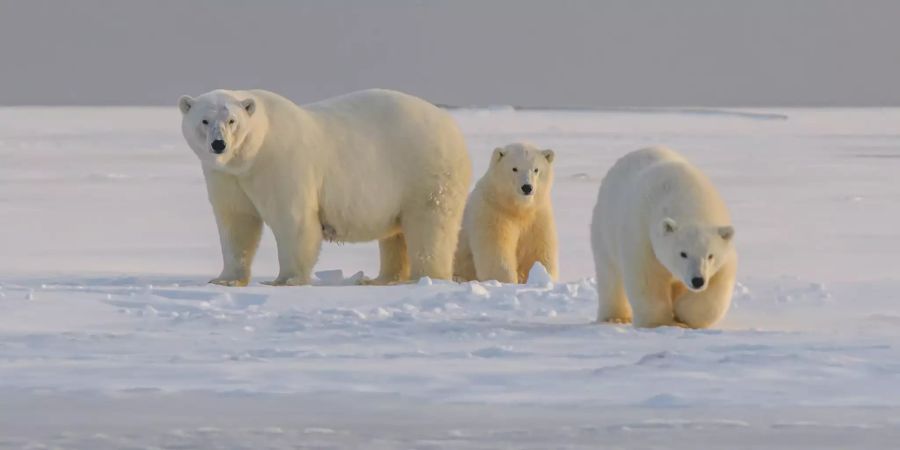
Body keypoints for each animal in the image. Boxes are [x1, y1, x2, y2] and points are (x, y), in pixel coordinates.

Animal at [176, 88, 472, 284]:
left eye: (232, 121)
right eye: (204, 120)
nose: (219, 144)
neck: (252, 154)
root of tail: (452, 126)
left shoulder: (281, 164)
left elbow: (293, 221)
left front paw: (286, 280)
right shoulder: (227, 177)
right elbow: (236, 222)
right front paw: (225, 279)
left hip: (424, 171)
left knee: (430, 226)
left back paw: (426, 277)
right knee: (395, 235)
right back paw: (381, 279)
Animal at [458, 142, 556, 284]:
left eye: (536, 169)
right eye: (514, 168)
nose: (527, 187)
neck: (517, 208)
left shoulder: (537, 216)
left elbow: (538, 250)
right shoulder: (493, 213)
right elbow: (496, 252)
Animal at [592, 148, 740, 326]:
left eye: (710, 255)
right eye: (683, 253)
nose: (697, 280)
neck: (689, 201)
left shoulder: (724, 254)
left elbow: (717, 288)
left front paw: (682, 313)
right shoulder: (643, 236)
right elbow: (647, 279)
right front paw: (659, 322)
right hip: (604, 228)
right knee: (609, 275)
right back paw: (615, 317)